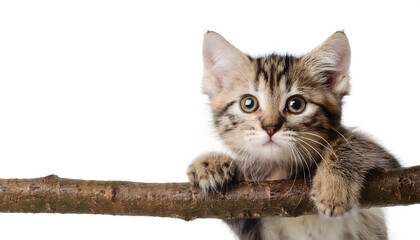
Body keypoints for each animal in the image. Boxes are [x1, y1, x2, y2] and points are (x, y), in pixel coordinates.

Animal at [187, 32, 400, 240]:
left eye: (296, 104)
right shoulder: (257, 229)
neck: (282, 169)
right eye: (248, 104)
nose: (270, 127)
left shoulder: (390, 169)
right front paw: (210, 163)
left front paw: (333, 186)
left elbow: (357, 144)